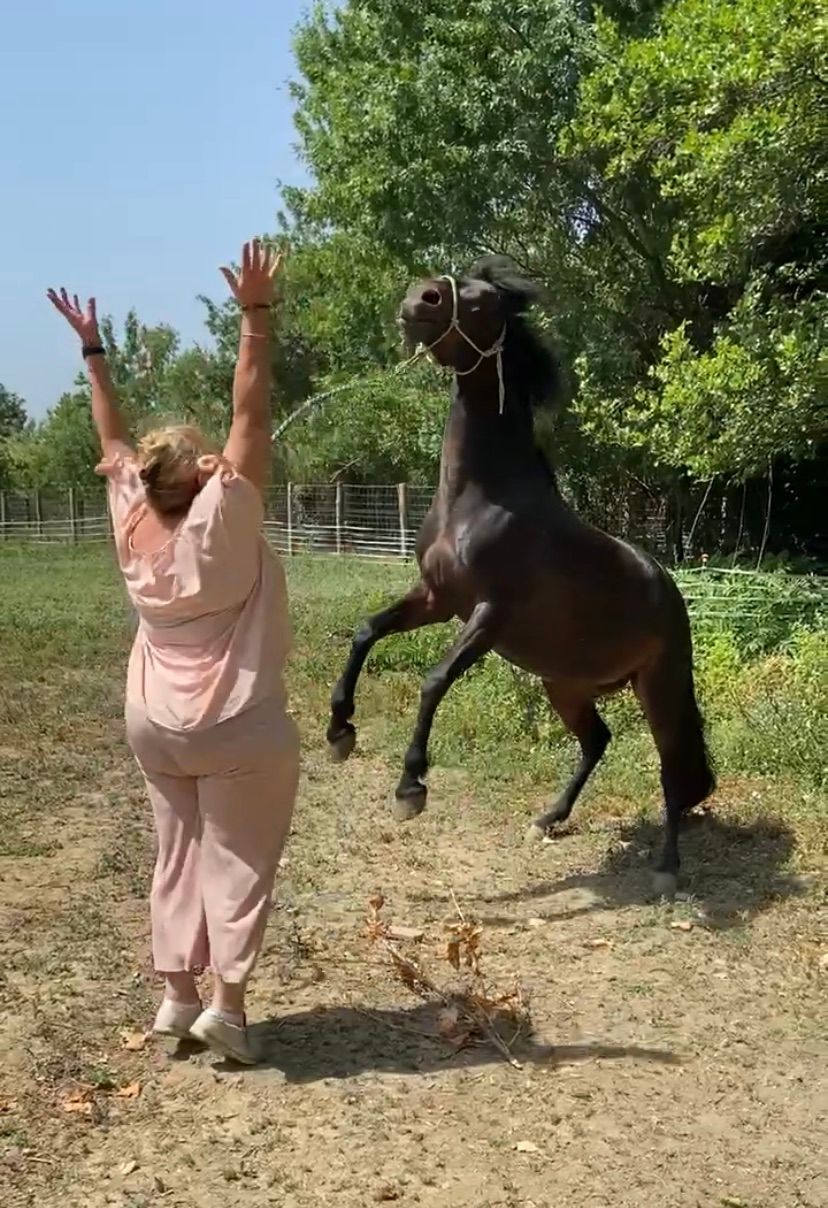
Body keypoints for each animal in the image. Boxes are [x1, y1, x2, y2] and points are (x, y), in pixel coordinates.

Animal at [325, 256, 715, 896]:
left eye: (484, 303)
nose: (420, 298)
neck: (479, 497)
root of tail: (666, 584)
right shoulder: (436, 598)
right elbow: (365, 631)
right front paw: (340, 732)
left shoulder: (490, 614)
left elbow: (434, 680)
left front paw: (411, 788)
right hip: (565, 684)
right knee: (599, 741)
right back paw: (548, 819)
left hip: (658, 686)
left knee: (671, 768)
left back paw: (666, 868)